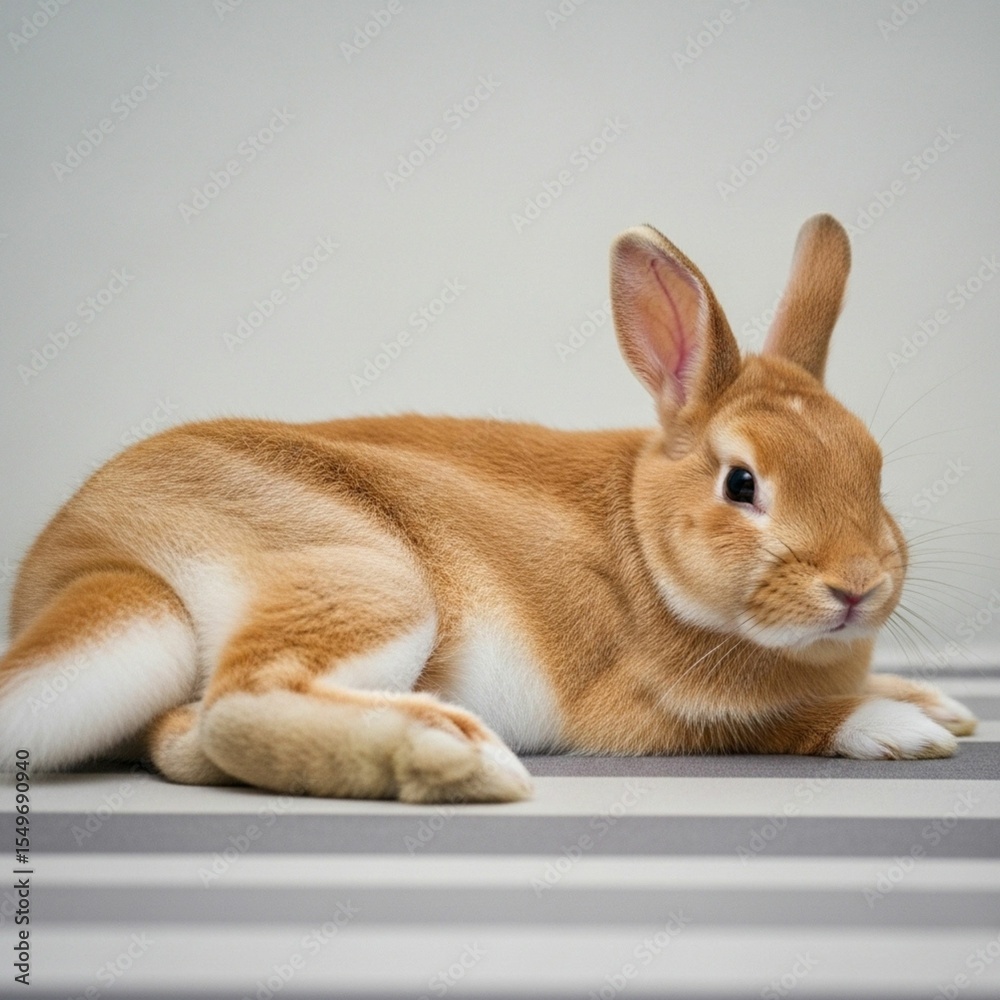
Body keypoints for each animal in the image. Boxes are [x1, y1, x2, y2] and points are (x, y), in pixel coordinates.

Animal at [0, 214, 978, 803]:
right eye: (742, 483)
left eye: (874, 469)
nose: (857, 587)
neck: (644, 547)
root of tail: (97, 558)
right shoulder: (657, 710)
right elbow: (788, 722)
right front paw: (903, 729)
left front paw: (939, 704)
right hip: (368, 579)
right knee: (239, 705)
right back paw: (453, 755)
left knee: (183, 733)